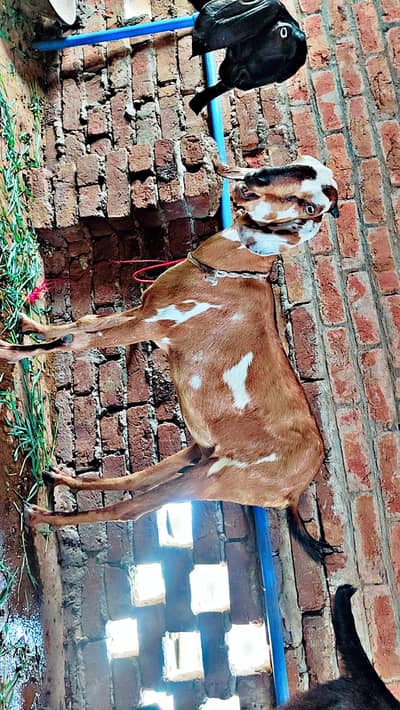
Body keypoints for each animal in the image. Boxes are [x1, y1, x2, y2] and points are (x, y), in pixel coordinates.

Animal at [0, 156, 339, 562]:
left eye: (312, 207)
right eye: (297, 165)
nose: (255, 180)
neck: (227, 274)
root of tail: (293, 494)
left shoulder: (149, 324)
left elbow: (75, 341)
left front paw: (8, 349)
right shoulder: (144, 312)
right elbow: (83, 323)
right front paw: (26, 322)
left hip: (215, 477)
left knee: (132, 509)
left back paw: (38, 516)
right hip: (200, 453)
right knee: (139, 478)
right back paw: (59, 478)